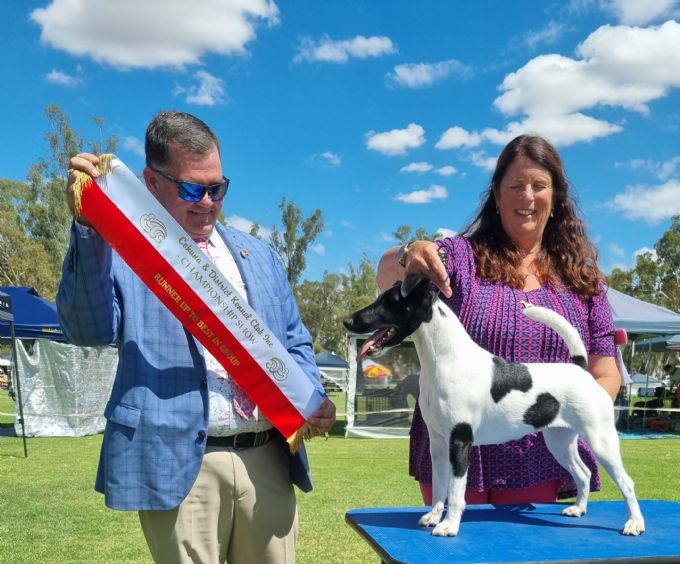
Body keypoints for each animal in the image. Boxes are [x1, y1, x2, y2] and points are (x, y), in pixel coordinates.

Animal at [343, 275, 644, 537]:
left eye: (388, 301)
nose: (346, 321)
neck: (446, 360)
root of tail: (580, 369)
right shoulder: (438, 444)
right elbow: (439, 486)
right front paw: (433, 516)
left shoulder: (459, 443)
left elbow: (455, 491)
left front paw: (449, 526)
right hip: (559, 440)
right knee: (583, 473)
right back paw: (578, 509)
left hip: (600, 440)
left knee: (626, 482)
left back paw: (634, 524)